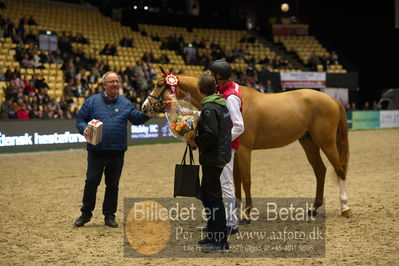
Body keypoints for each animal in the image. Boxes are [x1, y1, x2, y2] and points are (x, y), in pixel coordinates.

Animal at [143, 73, 354, 220]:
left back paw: (345, 207)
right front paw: (235, 209)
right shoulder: (235, 150)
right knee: (320, 170)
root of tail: (332, 99)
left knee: (339, 169)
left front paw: (246, 213)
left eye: (159, 84)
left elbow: (245, 180)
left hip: (326, 143)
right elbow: (236, 180)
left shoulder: (244, 150)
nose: (145, 106)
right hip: (308, 142)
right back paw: (314, 208)